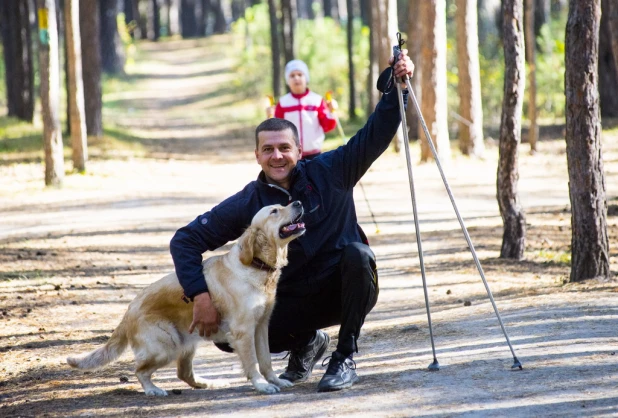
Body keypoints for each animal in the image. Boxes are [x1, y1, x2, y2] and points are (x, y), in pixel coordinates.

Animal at [67, 202, 306, 396]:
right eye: (274, 211)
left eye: (283, 204)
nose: (298, 202)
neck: (256, 266)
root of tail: (128, 312)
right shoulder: (243, 331)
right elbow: (253, 363)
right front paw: (262, 385)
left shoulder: (262, 326)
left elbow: (265, 360)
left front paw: (275, 381)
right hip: (166, 346)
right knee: (139, 370)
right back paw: (153, 390)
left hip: (186, 343)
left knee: (184, 373)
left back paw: (207, 383)